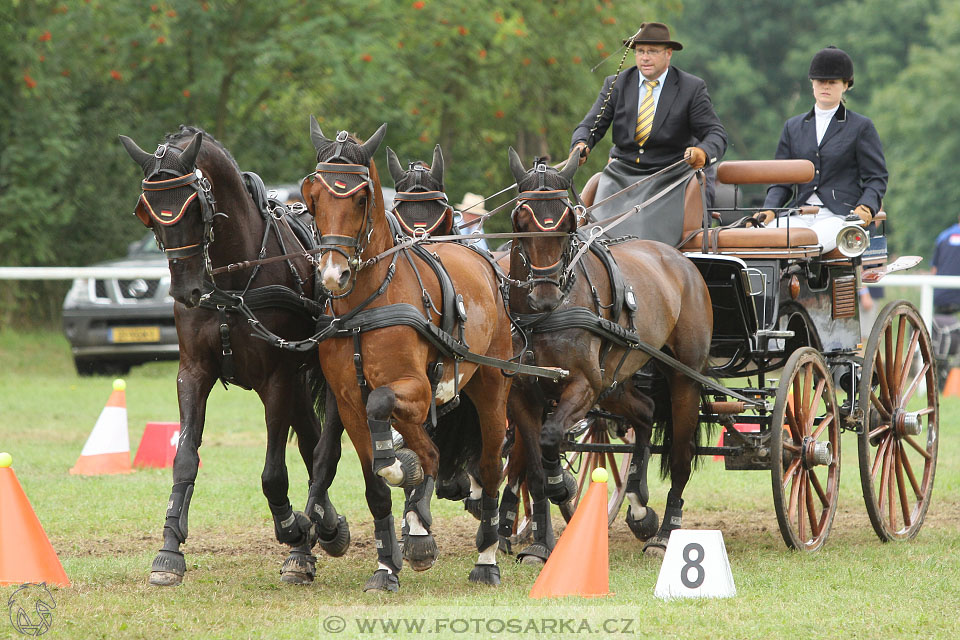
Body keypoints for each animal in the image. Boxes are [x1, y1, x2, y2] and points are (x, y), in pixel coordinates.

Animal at [118, 127, 346, 588]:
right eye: (149, 213)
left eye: (194, 206)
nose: (185, 290)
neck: (231, 281)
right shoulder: (193, 373)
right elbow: (184, 459)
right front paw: (169, 550)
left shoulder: (277, 377)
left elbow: (273, 474)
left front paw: (293, 529)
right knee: (311, 439)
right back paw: (322, 531)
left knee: (322, 447)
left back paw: (308, 538)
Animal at [300, 117, 512, 592]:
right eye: (313, 197)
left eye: (360, 198)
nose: (333, 275)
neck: (367, 304)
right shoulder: (349, 402)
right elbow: (376, 483)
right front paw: (386, 565)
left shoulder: (413, 387)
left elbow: (384, 418)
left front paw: (403, 471)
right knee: (430, 452)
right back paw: (418, 529)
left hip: (490, 390)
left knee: (490, 468)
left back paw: (487, 558)